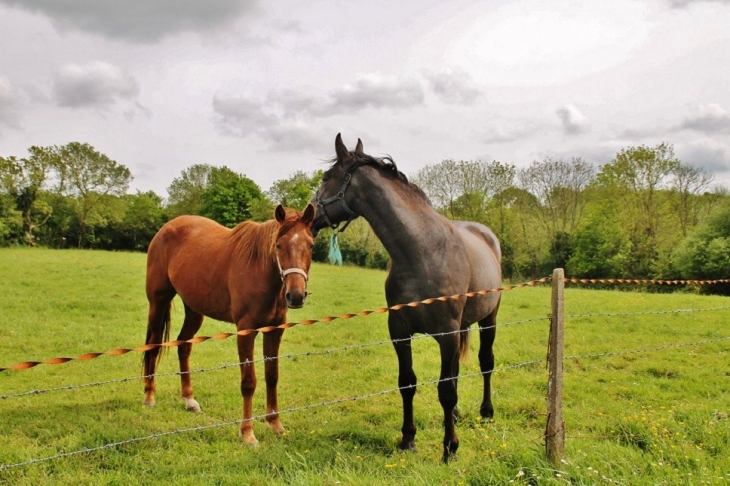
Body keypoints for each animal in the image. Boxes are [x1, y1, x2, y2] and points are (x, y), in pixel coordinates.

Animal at [141, 203, 312, 446]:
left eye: (311, 245)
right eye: (279, 245)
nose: (296, 296)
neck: (259, 268)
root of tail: (165, 228)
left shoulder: (274, 330)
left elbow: (272, 376)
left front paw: (275, 424)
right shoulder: (246, 330)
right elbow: (248, 382)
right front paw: (247, 433)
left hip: (194, 310)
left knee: (183, 346)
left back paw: (189, 400)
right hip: (158, 303)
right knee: (153, 346)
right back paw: (149, 396)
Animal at [308, 134, 500, 464]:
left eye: (325, 178)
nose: (307, 214)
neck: (423, 253)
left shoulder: (447, 333)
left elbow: (445, 390)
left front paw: (450, 448)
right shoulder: (399, 331)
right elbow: (408, 382)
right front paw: (408, 439)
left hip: (488, 320)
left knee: (485, 363)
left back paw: (485, 412)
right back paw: (456, 415)